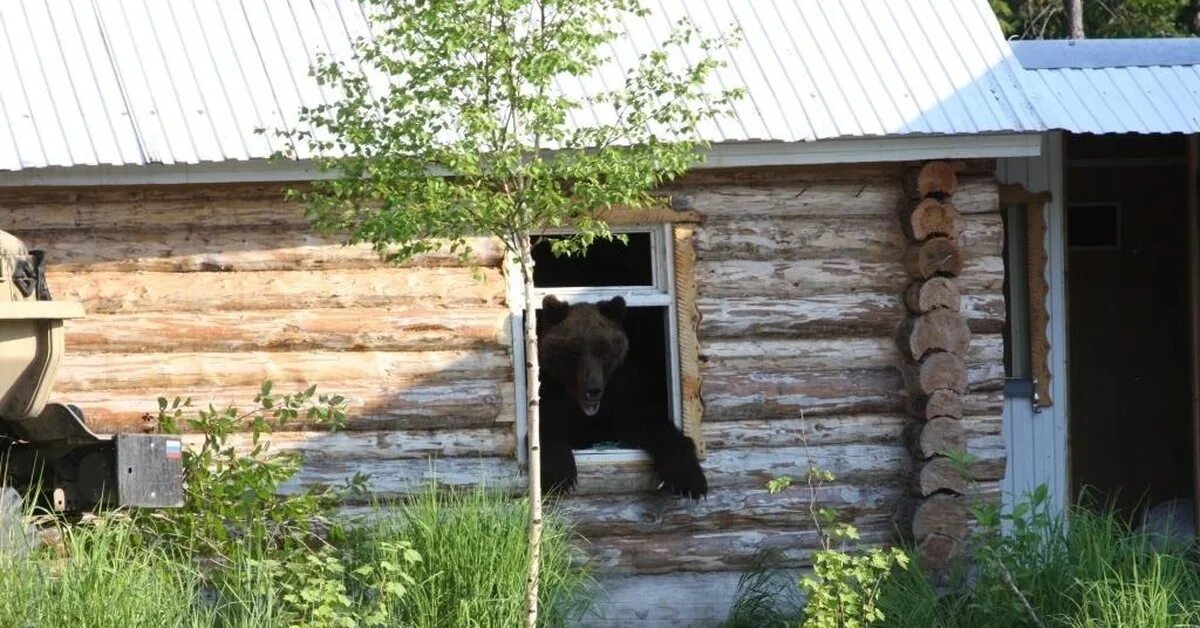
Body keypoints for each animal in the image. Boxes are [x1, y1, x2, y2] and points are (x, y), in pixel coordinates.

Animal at [532, 296, 700, 501]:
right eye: (574, 351)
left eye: (604, 351)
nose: (593, 390)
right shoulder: (550, 391)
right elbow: (544, 424)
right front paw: (562, 477)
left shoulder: (617, 395)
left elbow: (646, 422)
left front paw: (690, 480)